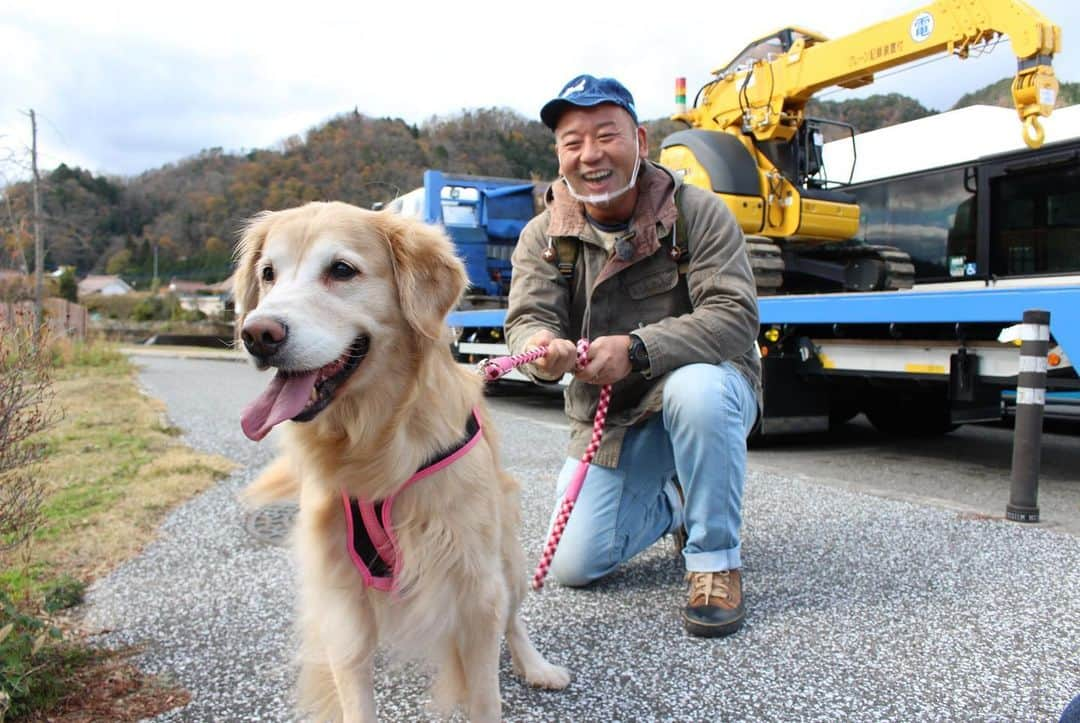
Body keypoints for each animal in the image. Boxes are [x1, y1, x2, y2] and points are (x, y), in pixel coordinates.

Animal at [232, 203, 570, 721]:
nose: (257, 334)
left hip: (506, 555)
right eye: (268, 273)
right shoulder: (343, 594)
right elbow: (355, 692)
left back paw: (536, 665)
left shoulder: (476, 585)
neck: (376, 442)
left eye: (342, 270)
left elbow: (485, 695)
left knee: (514, 618)